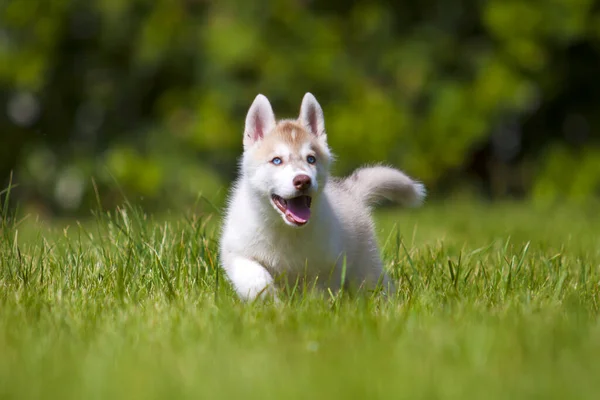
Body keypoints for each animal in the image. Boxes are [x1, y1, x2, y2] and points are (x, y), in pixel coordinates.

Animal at [218, 94, 424, 300]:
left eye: (311, 159)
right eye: (277, 160)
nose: (303, 181)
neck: (286, 230)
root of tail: (350, 191)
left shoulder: (327, 266)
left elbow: (318, 295)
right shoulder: (236, 252)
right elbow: (254, 277)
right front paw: (268, 298)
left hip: (365, 267)